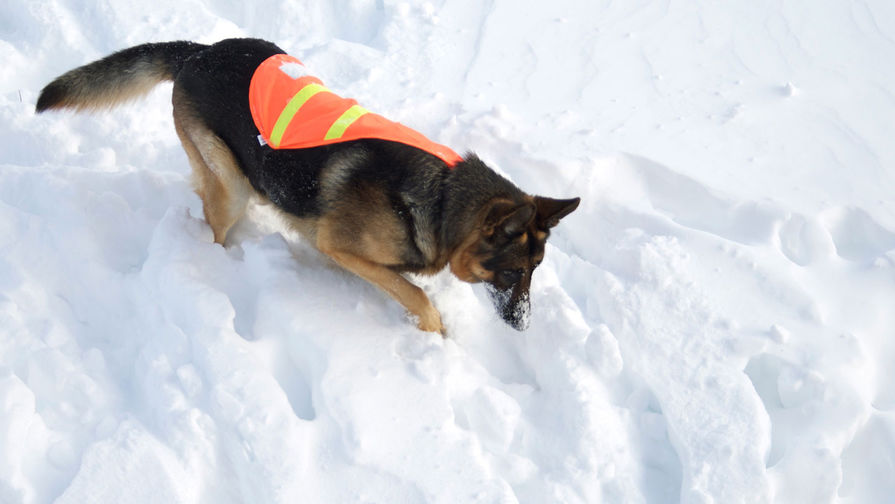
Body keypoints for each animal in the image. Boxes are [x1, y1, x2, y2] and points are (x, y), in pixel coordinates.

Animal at [36, 39, 580, 334]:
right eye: (512, 274)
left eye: (535, 273)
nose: (524, 325)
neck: (444, 196)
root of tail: (201, 52)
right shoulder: (341, 245)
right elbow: (417, 295)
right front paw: (436, 333)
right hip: (231, 184)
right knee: (212, 218)